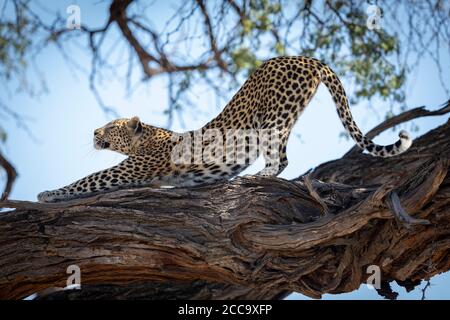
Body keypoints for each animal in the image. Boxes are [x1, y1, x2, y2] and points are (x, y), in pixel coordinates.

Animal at [37, 54, 412, 200]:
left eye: (111, 126)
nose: (93, 133)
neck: (147, 138)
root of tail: (305, 57)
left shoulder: (130, 170)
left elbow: (88, 179)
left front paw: (47, 194)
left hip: (272, 118)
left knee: (278, 160)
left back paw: (254, 177)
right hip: (283, 119)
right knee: (284, 158)